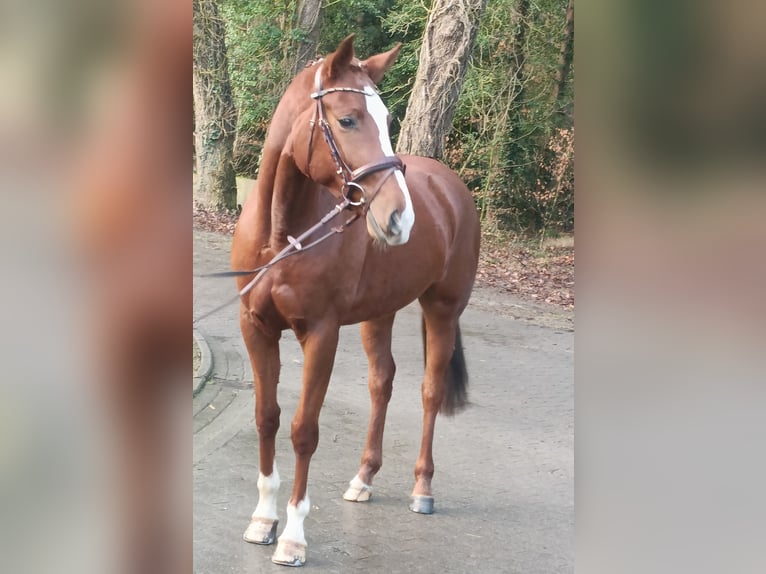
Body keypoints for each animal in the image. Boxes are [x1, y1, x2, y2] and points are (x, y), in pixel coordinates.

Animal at [231, 36, 480, 568]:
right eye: (347, 119)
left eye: (387, 119)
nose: (400, 218)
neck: (281, 238)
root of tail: (450, 186)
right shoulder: (255, 327)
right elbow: (267, 418)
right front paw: (263, 519)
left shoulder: (321, 335)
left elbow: (304, 430)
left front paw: (294, 537)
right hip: (379, 314)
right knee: (381, 383)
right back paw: (363, 479)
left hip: (442, 310)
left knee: (430, 391)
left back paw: (422, 489)